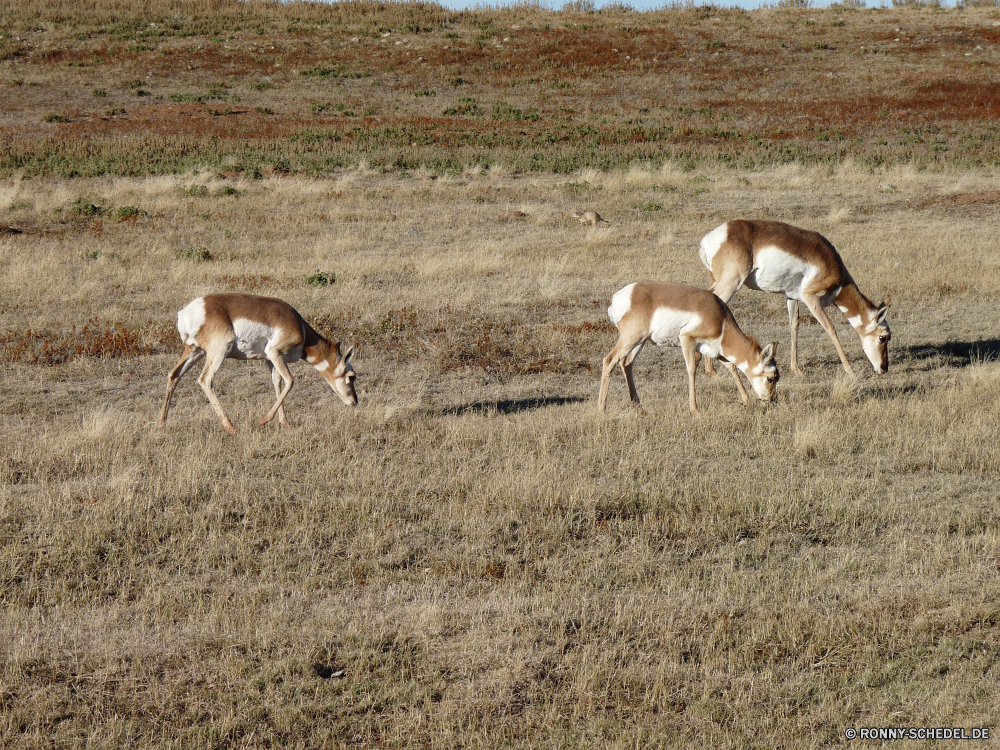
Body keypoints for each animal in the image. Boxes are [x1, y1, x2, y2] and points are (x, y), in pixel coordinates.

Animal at [156, 294, 356, 434]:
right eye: (351, 376)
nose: (354, 401)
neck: (301, 329)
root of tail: (186, 313)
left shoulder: (270, 360)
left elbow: (278, 383)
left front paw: (285, 423)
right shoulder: (274, 353)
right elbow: (290, 381)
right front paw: (263, 420)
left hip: (195, 351)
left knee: (174, 375)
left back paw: (161, 424)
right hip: (218, 352)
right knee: (205, 380)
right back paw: (230, 426)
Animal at [596, 280, 776, 414]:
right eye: (770, 378)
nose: (772, 400)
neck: (720, 318)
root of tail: (621, 296)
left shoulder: (716, 351)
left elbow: (731, 366)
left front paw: (746, 401)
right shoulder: (687, 340)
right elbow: (691, 370)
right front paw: (694, 410)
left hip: (640, 341)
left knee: (626, 363)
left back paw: (639, 408)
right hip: (631, 339)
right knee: (609, 360)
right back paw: (602, 410)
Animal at [700, 220, 888, 378]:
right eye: (883, 337)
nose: (884, 368)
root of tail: (710, 238)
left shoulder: (791, 296)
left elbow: (794, 325)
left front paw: (796, 368)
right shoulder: (810, 297)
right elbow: (830, 328)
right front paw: (850, 371)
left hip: (717, 282)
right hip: (731, 284)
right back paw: (711, 370)